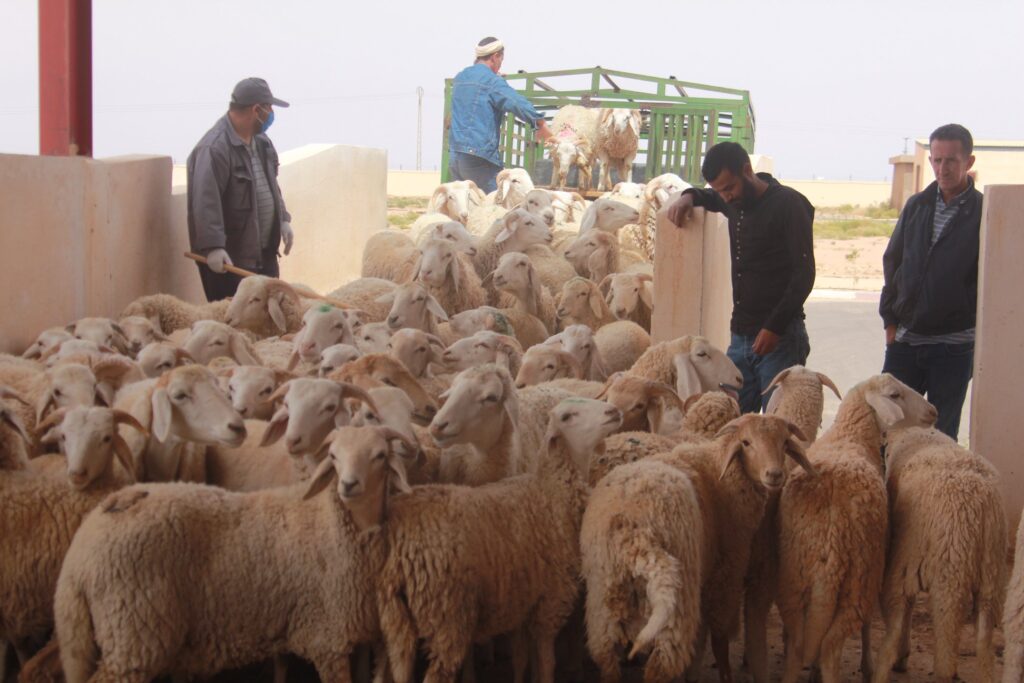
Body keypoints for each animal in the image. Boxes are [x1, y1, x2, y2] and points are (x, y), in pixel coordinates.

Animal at [778, 374, 937, 683]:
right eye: (895, 395)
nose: (933, 411)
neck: (849, 435)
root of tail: (828, 534)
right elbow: (866, 628)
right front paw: (867, 666)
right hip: (858, 580)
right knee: (829, 647)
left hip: (794, 581)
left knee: (797, 647)